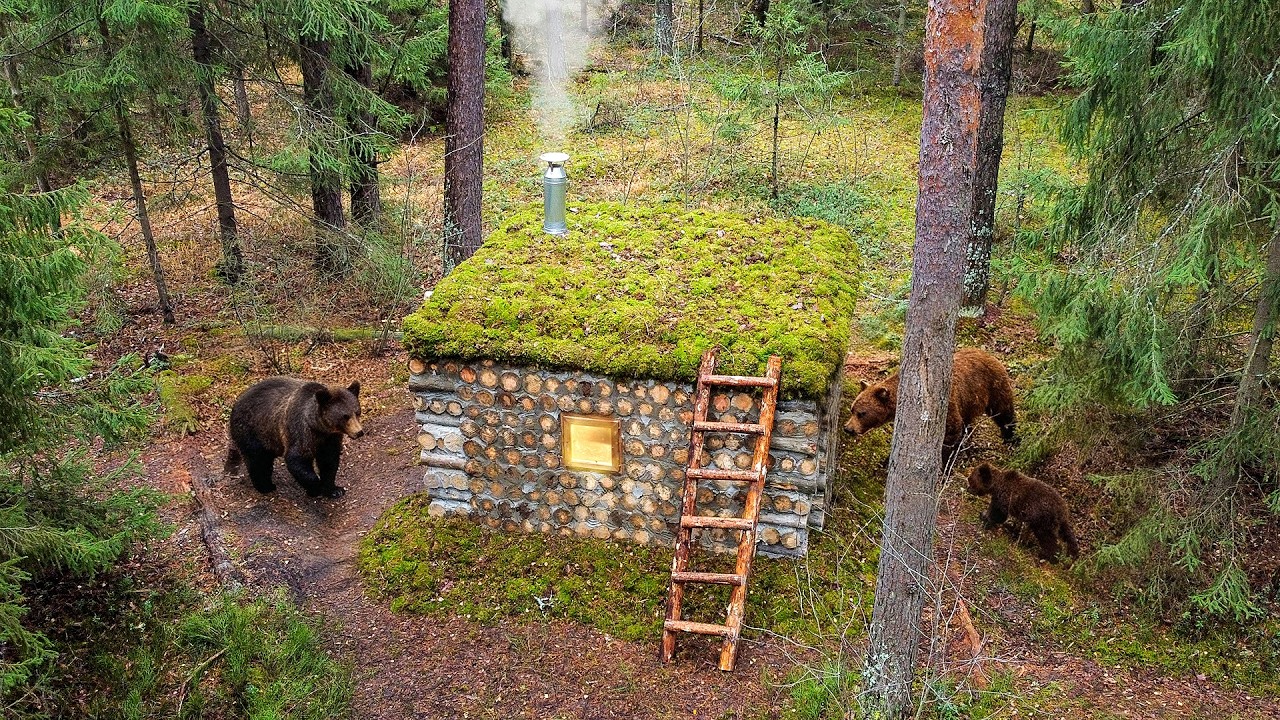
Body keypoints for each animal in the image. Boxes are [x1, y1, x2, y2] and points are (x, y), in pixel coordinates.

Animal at [226, 377, 364, 499]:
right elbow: (297, 458)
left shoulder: (329, 439)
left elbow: (329, 462)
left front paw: (334, 490)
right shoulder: (301, 431)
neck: (319, 427)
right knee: (258, 460)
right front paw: (315, 488)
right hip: (253, 430)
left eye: (357, 412)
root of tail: (235, 405)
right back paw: (266, 486)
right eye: (345, 416)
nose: (359, 432)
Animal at [843, 347, 1016, 461]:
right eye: (852, 409)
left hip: (993, 386)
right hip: (969, 402)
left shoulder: (944, 409)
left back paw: (1010, 436)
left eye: (862, 413)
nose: (848, 428)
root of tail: (989, 354)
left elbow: (951, 431)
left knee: (1004, 412)